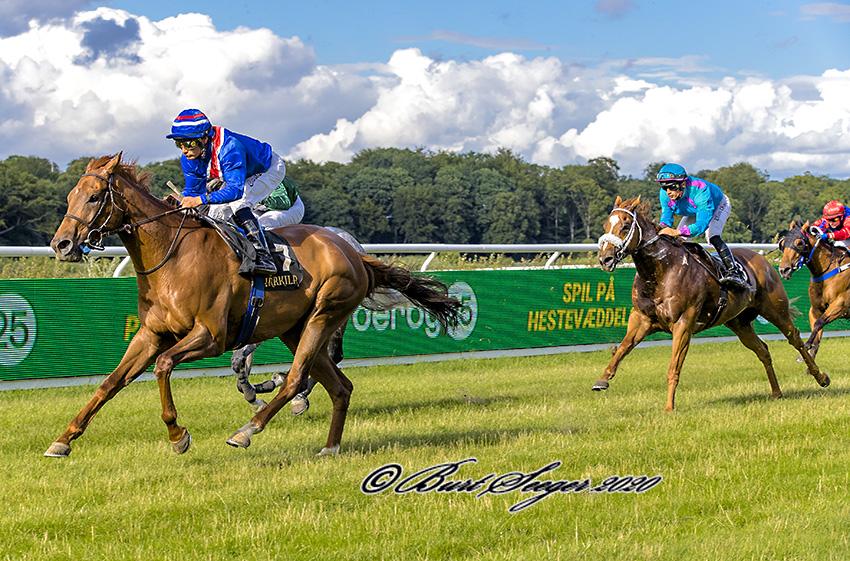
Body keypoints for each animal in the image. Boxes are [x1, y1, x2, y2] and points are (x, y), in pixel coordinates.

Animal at [46, 153, 462, 457]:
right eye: (69, 197)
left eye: (95, 197)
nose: (61, 244)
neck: (173, 256)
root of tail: (354, 253)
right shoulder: (151, 333)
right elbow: (111, 382)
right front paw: (63, 439)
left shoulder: (210, 336)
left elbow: (164, 366)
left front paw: (178, 435)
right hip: (296, 327)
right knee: (340, 386)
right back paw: (329, 447)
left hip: (325, 313)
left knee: (297, 378)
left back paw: (248, 429)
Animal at [595, 196, 829, 411]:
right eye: (606, 225)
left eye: (625, 226)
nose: (605, 259)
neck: (661, 271)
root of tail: (764, 261)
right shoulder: (641, 319)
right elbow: (622, 349)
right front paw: (602, 380)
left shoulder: (683, 323)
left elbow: (674, 367)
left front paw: (669, 407)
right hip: (739, 323)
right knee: (762, 349)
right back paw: (777, 392)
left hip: (775, 309)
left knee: (795, 338)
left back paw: (821, 377)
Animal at [778, 220, 850, 358]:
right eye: (782, 244)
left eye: (799, 243)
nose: (784, 270)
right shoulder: (816, 308)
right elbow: (817, 329)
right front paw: (808, 353)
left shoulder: (840, 305)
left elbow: (819, 323)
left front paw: (806, 345)